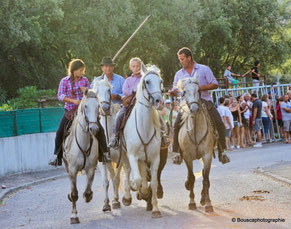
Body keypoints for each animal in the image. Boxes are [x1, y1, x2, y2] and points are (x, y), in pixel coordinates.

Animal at [62, 88, 100, 225]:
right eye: (86, 106)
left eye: (98, 106)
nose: (94, 128)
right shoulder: (72, 170)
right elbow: (74, 193)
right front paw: (74, 216)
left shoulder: (91, 169)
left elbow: (88, 191)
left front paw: (88, 197)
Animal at [92, 78, 132, 211]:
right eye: (96, 92)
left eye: (109, 90)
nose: (104, 107)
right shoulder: (103, 161)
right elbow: (106, 181)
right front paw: (106, 203)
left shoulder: (120, 158)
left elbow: (116, 179)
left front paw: (115, 201)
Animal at [122, 63, 165, 217]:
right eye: (147, 81)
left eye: (160, 81)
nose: (159, 102)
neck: (144, 128)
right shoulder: (132, 156)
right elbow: (137, 178)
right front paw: (138, 189)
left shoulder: (155, 158)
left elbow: (153, 183)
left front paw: (155, 209)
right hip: (123, 155)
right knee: (128, 171)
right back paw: (127, 196)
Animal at [178, 76, 217, 214]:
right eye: (184, 92)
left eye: (199, 90)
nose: (194, 109)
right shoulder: (187, 157)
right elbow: (191, 178)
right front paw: (192, 202)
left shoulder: (207, 155)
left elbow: (205, 179)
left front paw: (208, 204)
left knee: (205, 175)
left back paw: (203, 198)